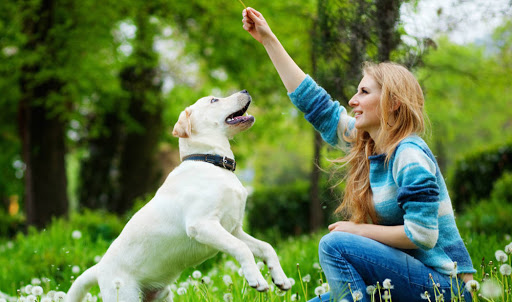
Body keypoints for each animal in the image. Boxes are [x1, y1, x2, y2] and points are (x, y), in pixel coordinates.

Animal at [66, 90, 292, 302]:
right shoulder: (202, 224)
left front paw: (280, 278)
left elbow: (266, 247)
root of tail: (100, 267)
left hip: (162, 296)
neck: (211, 162)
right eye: (213, 100)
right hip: (124, 295)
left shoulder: (233, 229)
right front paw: (257, 280)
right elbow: (242, 248)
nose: (245, 91)